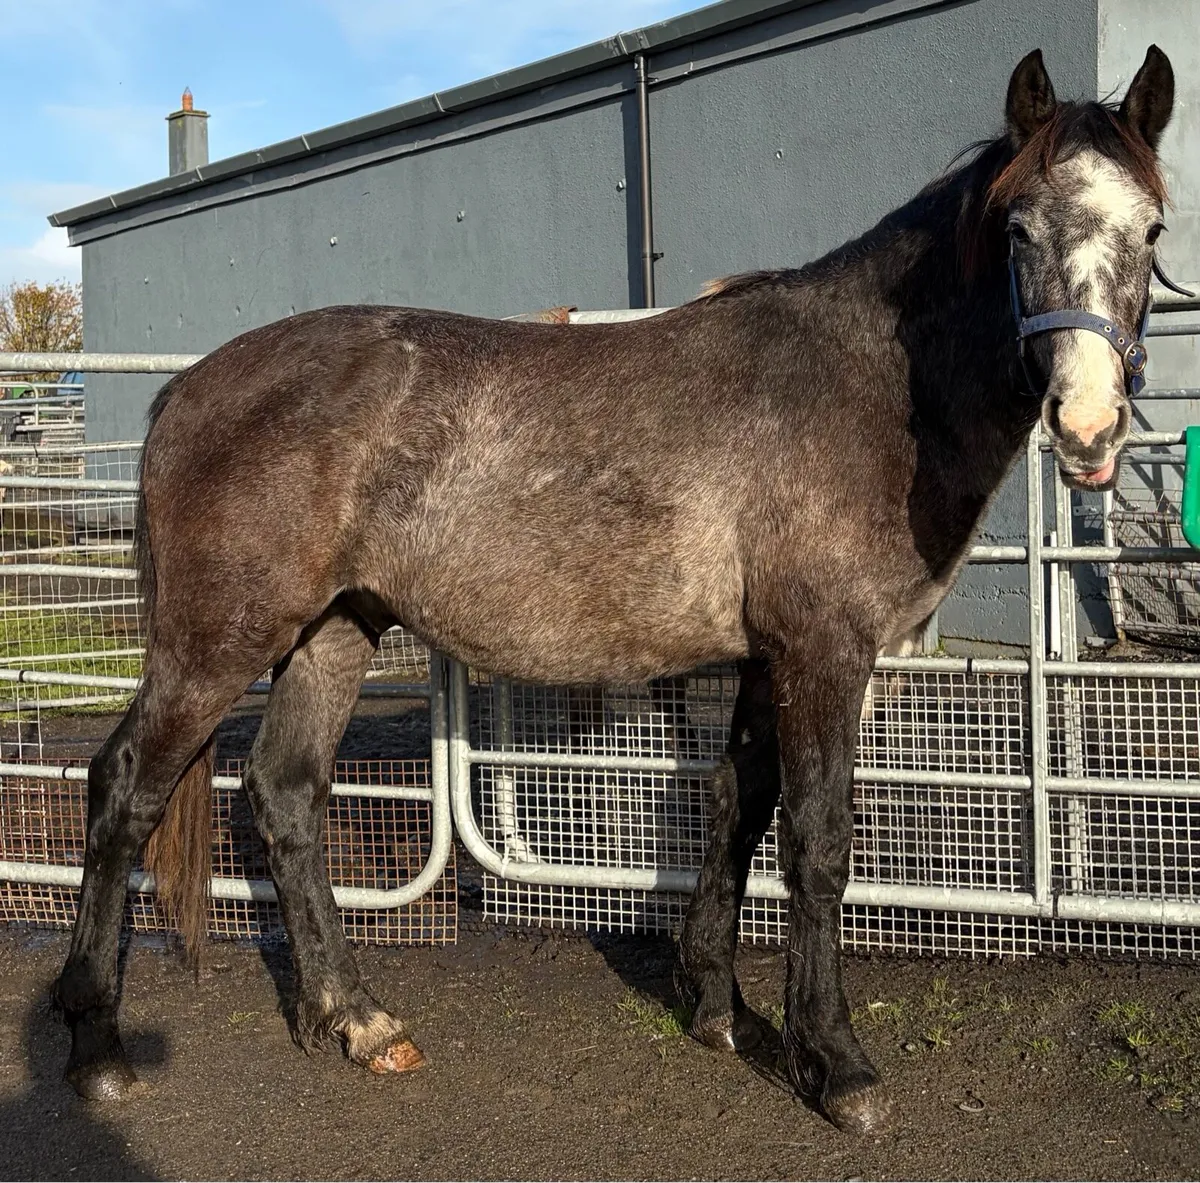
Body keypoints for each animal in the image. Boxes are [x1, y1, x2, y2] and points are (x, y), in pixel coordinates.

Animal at [52, 46, 1177, 1135]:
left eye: (1153, 226)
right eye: (1019, 228)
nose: (1087, 427)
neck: (864, 384)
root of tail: (189, 386)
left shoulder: (764, 657)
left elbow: (736, 808)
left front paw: (717, 1006)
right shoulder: (823, 651)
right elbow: (815, 842)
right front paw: (835, 1063)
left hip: (335, 627)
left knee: (285, 793)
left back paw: (357, 1017)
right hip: (216, 644)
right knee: (123, 789)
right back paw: (97, 1046)